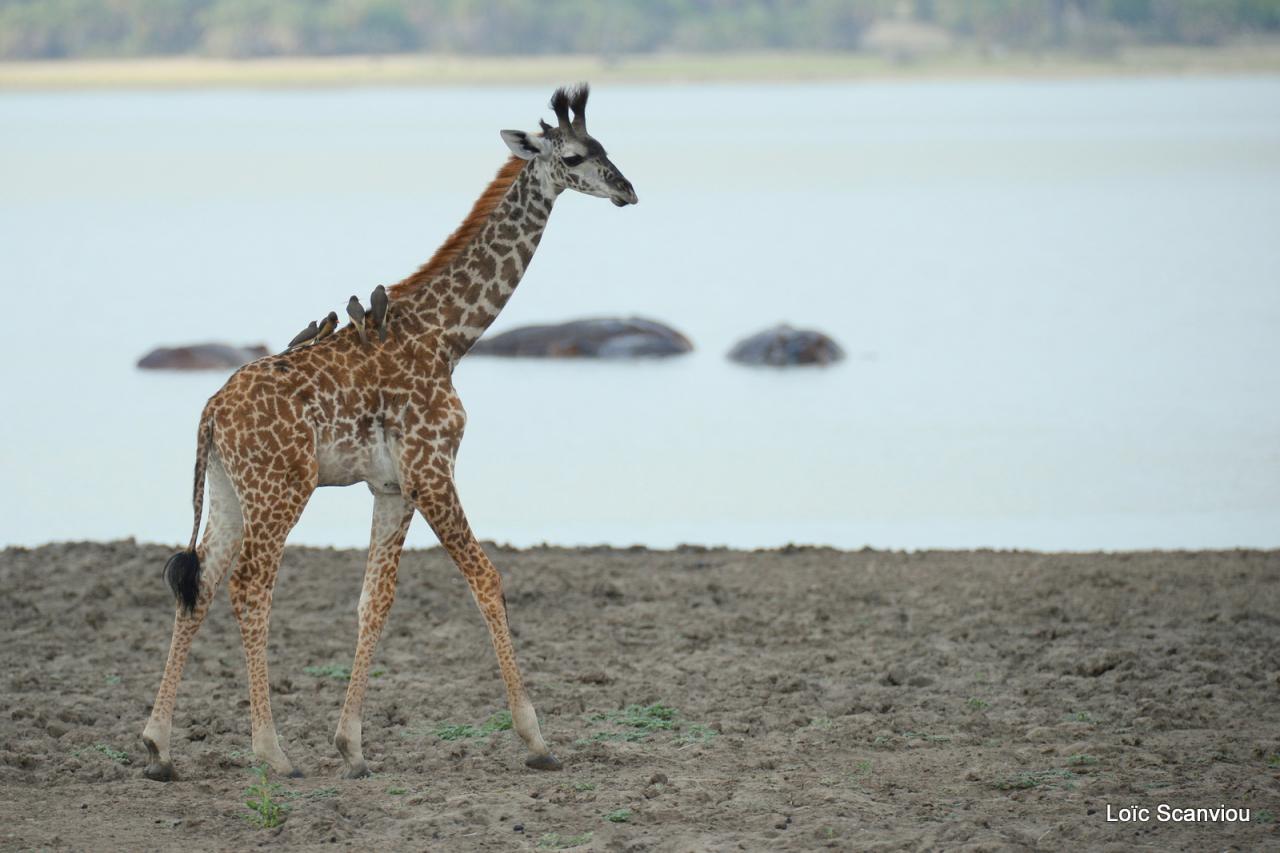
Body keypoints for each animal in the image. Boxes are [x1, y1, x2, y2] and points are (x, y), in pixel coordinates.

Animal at [142, 84, 637, 778]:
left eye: (604, 147)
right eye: (573, 155)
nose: (627, 190)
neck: (448, 336)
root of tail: (211, 412)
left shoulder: (393, 486)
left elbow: (374, 601)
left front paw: (351, 746)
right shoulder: (433, 468)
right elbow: (487, 580)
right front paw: (537, 740)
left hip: (228, 492)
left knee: (200, 585)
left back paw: (158, 745)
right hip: (279, 489)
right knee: (249, 587)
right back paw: (272, 752)